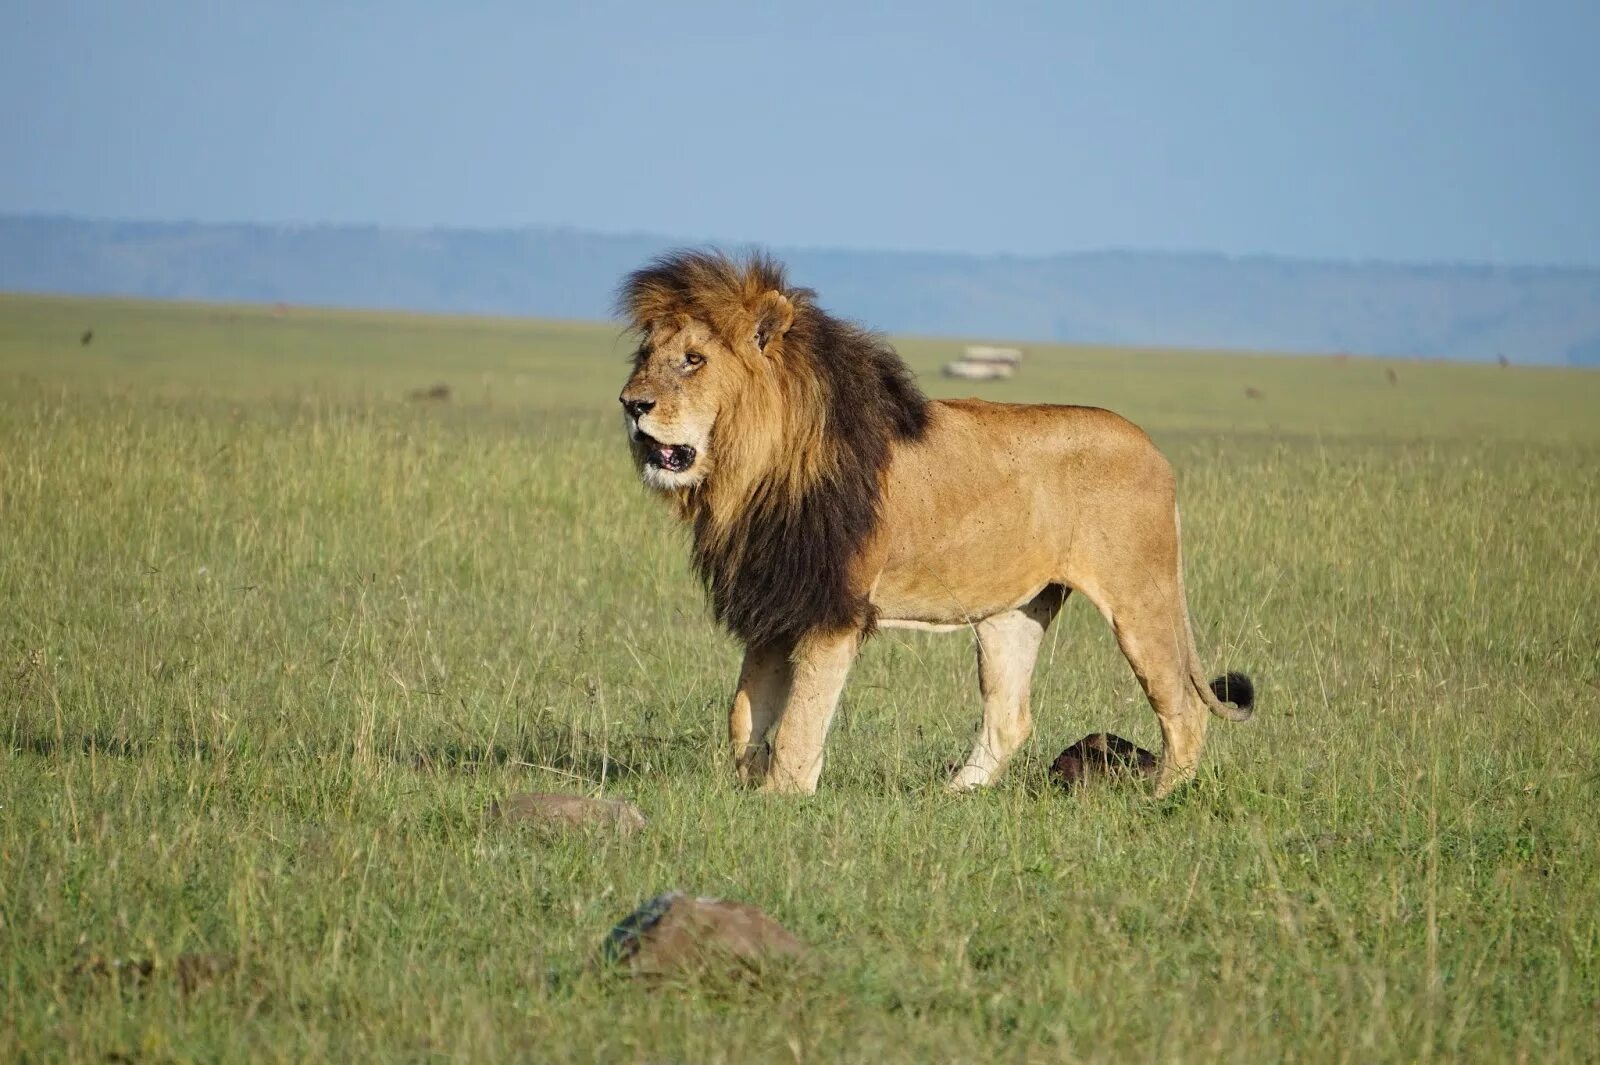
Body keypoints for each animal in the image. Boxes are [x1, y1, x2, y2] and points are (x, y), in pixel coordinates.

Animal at [611, 251, 1248, 796]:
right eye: (645, 357)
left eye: (694, 360)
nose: (630, 404)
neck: (750, 473)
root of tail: (1155, 451)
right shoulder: (776, 600)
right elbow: (744, 715)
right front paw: (746, 783)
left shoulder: (833, 608)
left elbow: (800, 720)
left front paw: (782, 797)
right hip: (1012, 611)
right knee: (1010, 717)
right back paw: (953, 796)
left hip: (1139, 595)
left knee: (1183, 707)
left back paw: (1158, 797)